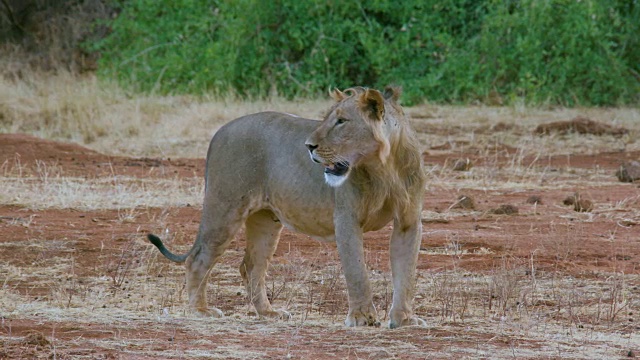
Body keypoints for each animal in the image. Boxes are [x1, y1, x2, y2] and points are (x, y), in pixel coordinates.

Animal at [148, 86, 428, 330]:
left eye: (341, 121)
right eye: (326, 119)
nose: (308, 146)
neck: (384, 168)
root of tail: (221, 130)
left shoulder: (408, 222)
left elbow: (406, 273)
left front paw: (404, 319)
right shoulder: (346, 219)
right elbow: (357, 271)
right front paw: (361, 318)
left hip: (265, 220)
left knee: (251, 266)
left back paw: (268, 312)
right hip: (224, 207)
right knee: (198, 258)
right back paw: (201, 311)